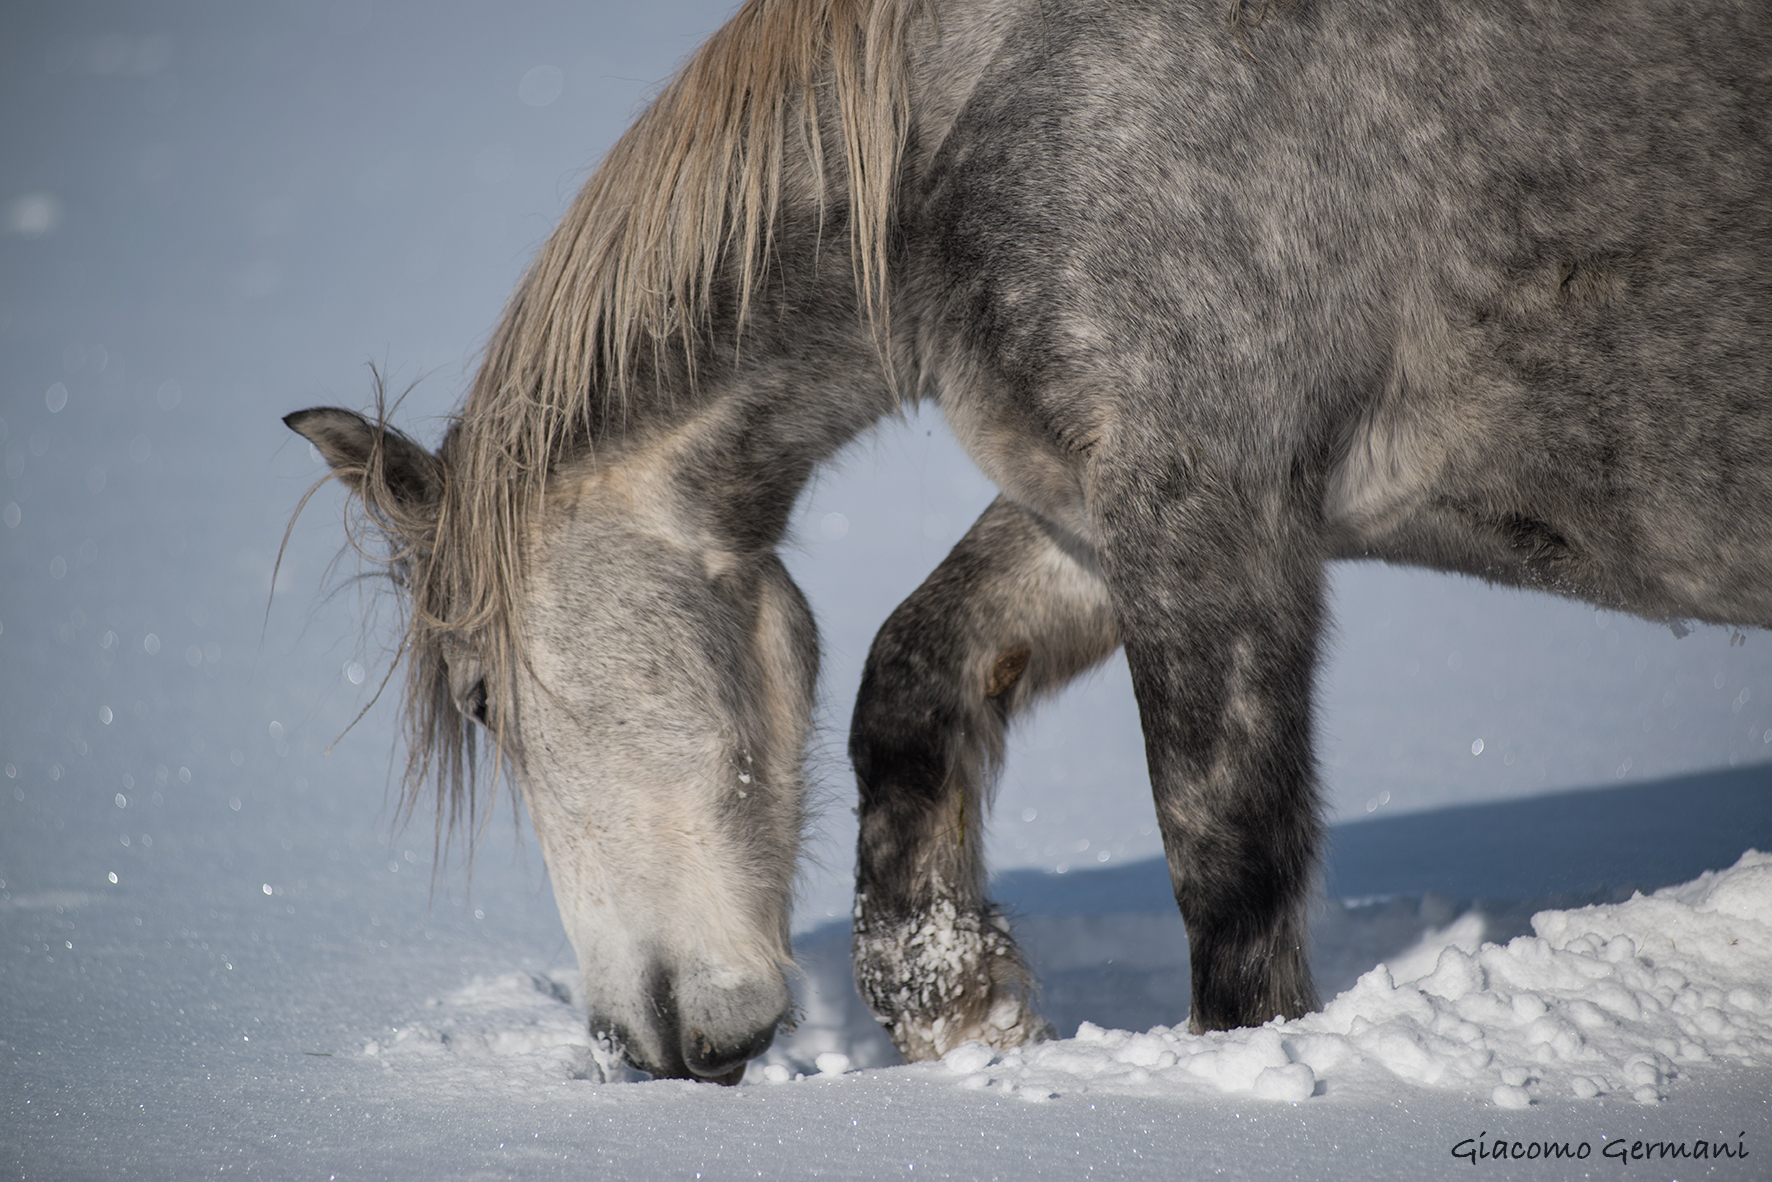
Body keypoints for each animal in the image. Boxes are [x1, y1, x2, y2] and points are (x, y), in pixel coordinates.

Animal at [286, 0, 1772, 1081]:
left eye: (483, 697)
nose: (647, 1042)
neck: (981, 125)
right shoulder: (1087, 513)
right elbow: (909, 685)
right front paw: (969, 1022)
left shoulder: (1207, 521)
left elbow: (1224, 858)